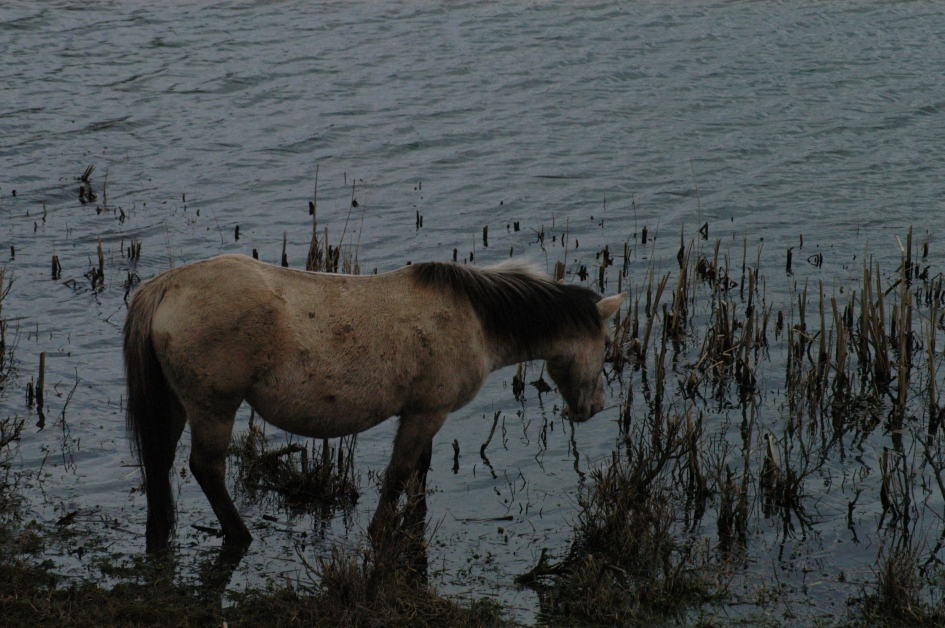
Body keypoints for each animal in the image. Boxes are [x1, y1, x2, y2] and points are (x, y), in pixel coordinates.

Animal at [124, 254, 624, 553]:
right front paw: (382, 528)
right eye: (605, 344)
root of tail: (165, 287)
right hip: (214, 407)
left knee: (160, 464)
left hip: (176, 406)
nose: (595, 406)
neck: (476, 318)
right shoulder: (427, 413)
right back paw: (239, 534)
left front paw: (413, 521)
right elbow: (399, 473)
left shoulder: (424, 412)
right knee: (206, 468)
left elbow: (419, 470)